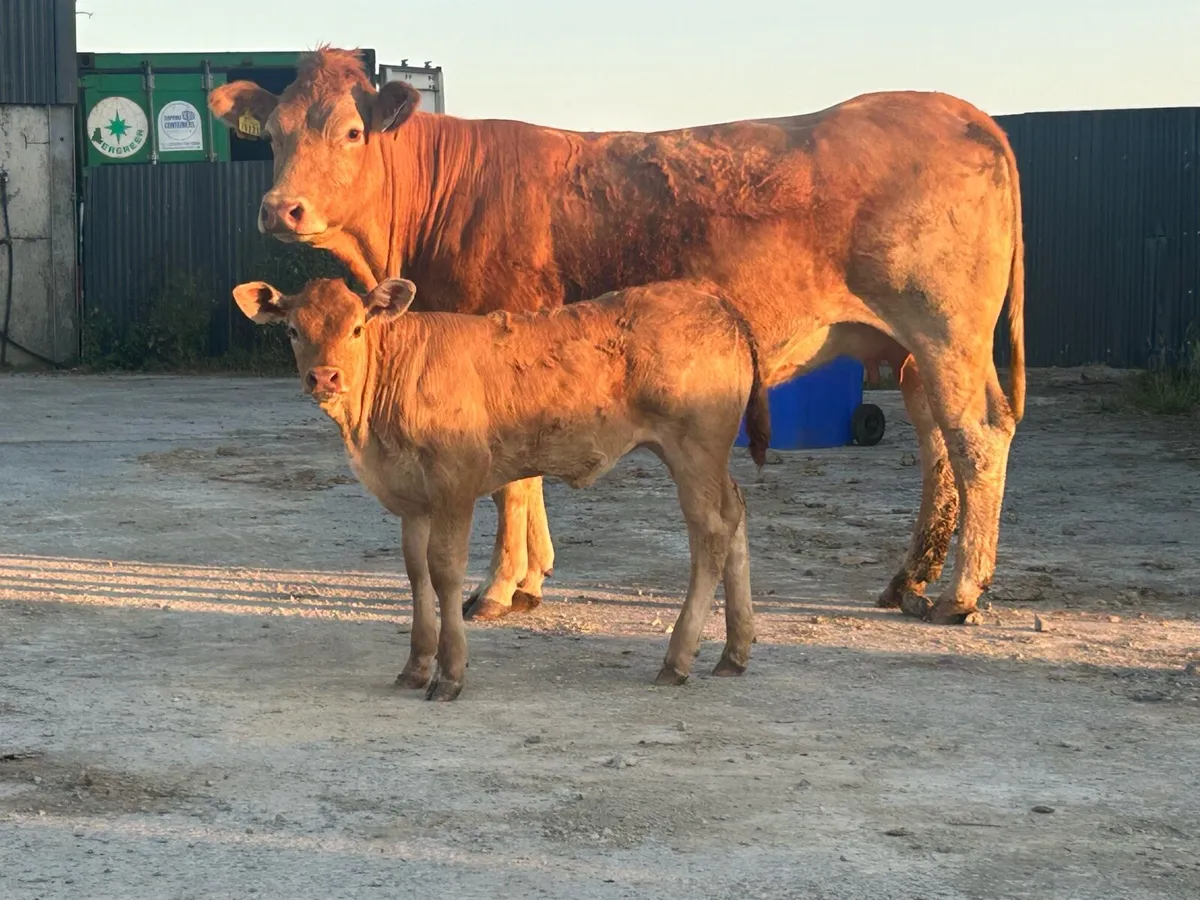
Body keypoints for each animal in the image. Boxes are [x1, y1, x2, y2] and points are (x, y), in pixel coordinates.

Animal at [209, 47, 1025, 629]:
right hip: (913, 350)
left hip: (946, 330)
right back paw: (908, 578)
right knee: (938, 441)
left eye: (351, 132)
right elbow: (525, 474)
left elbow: (512, 481)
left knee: (977, 436)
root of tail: (956, 108)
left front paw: (498, 587)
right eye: (274, 134)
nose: (282, 209)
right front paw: (532, 577)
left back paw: (961, 593)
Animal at [232, 276, 771, 701]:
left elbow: (444, 570)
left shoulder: (455, 483)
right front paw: (415, 666)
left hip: (693, 447)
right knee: (736, 513)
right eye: (294, 330)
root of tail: (714, 301)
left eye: (357, 328)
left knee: (711, 531)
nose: (324, 376)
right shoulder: (412, 498)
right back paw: (734, 651)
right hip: (707, 456)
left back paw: (677, 659)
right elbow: (415, 573)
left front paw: (449, 673)